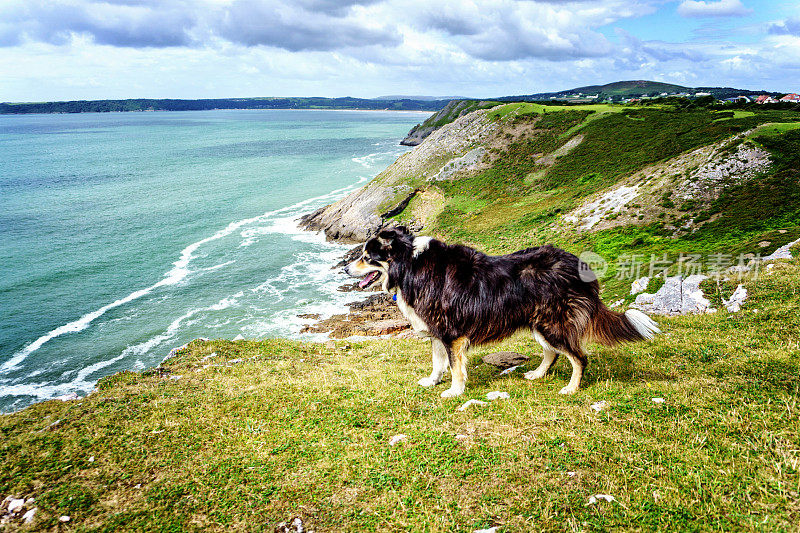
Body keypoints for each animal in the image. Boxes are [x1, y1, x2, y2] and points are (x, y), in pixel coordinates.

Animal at [346, 224, 660, 394]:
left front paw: (454, 391)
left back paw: (572, 387)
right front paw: (433, 381)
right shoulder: (436, 330)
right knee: (552, 353)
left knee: (579, 357)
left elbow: (455, 366)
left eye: (367, 257)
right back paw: (538, 374)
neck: (409, 264)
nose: (345, 269)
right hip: (538, 322)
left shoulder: (451, 332)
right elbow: (438, 362)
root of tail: (578, 265)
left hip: (553, 322)